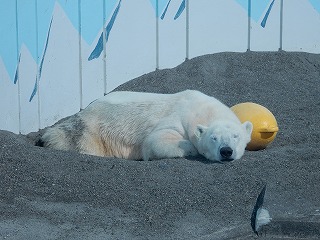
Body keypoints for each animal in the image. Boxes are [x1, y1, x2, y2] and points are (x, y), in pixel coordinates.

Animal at [38, 89, 252, 161]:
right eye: (214, 138)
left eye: (236, 136)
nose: (226, 151)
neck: (203, 110)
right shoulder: (177, 120)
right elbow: (155, 141)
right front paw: (193, 149)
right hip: (91, 130)